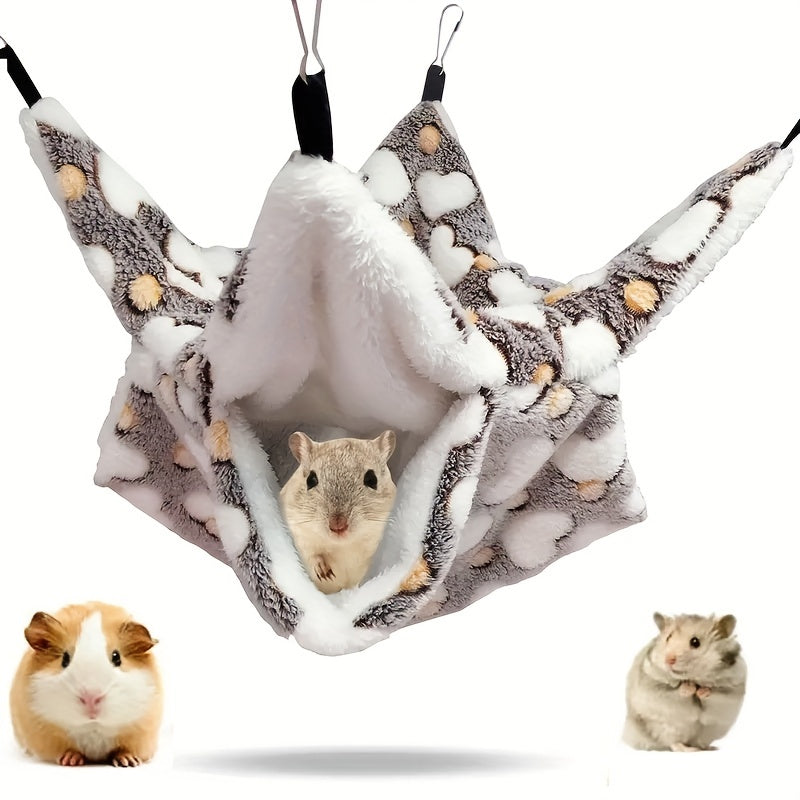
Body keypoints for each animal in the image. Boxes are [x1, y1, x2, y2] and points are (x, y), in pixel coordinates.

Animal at [9, 602, 162, 767]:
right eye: (65, 659)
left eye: (117, 658)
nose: (91, 698)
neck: (92, 727)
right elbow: (68, 750)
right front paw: (70, 761)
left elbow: (124, 750)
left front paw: (128, 762)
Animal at [279, 430, 397, 594]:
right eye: (311, 480)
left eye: (372, 479)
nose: (337, 525)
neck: (341, 545)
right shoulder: (298, 530)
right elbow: (312, 555)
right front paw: (325, 573)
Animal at [623, 612, 746, 752]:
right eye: (668, 638)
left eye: (695, 642)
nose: (668, 659)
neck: (693, 678)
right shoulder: (658, 687)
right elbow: (677, 691)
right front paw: (689, 688)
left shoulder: (729, 691)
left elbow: (713, 693)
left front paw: (702, 691)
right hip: (664, 728)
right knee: (672, 742)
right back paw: (688, 749)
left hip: (710, 731)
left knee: (698, 742)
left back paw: (709, 747)